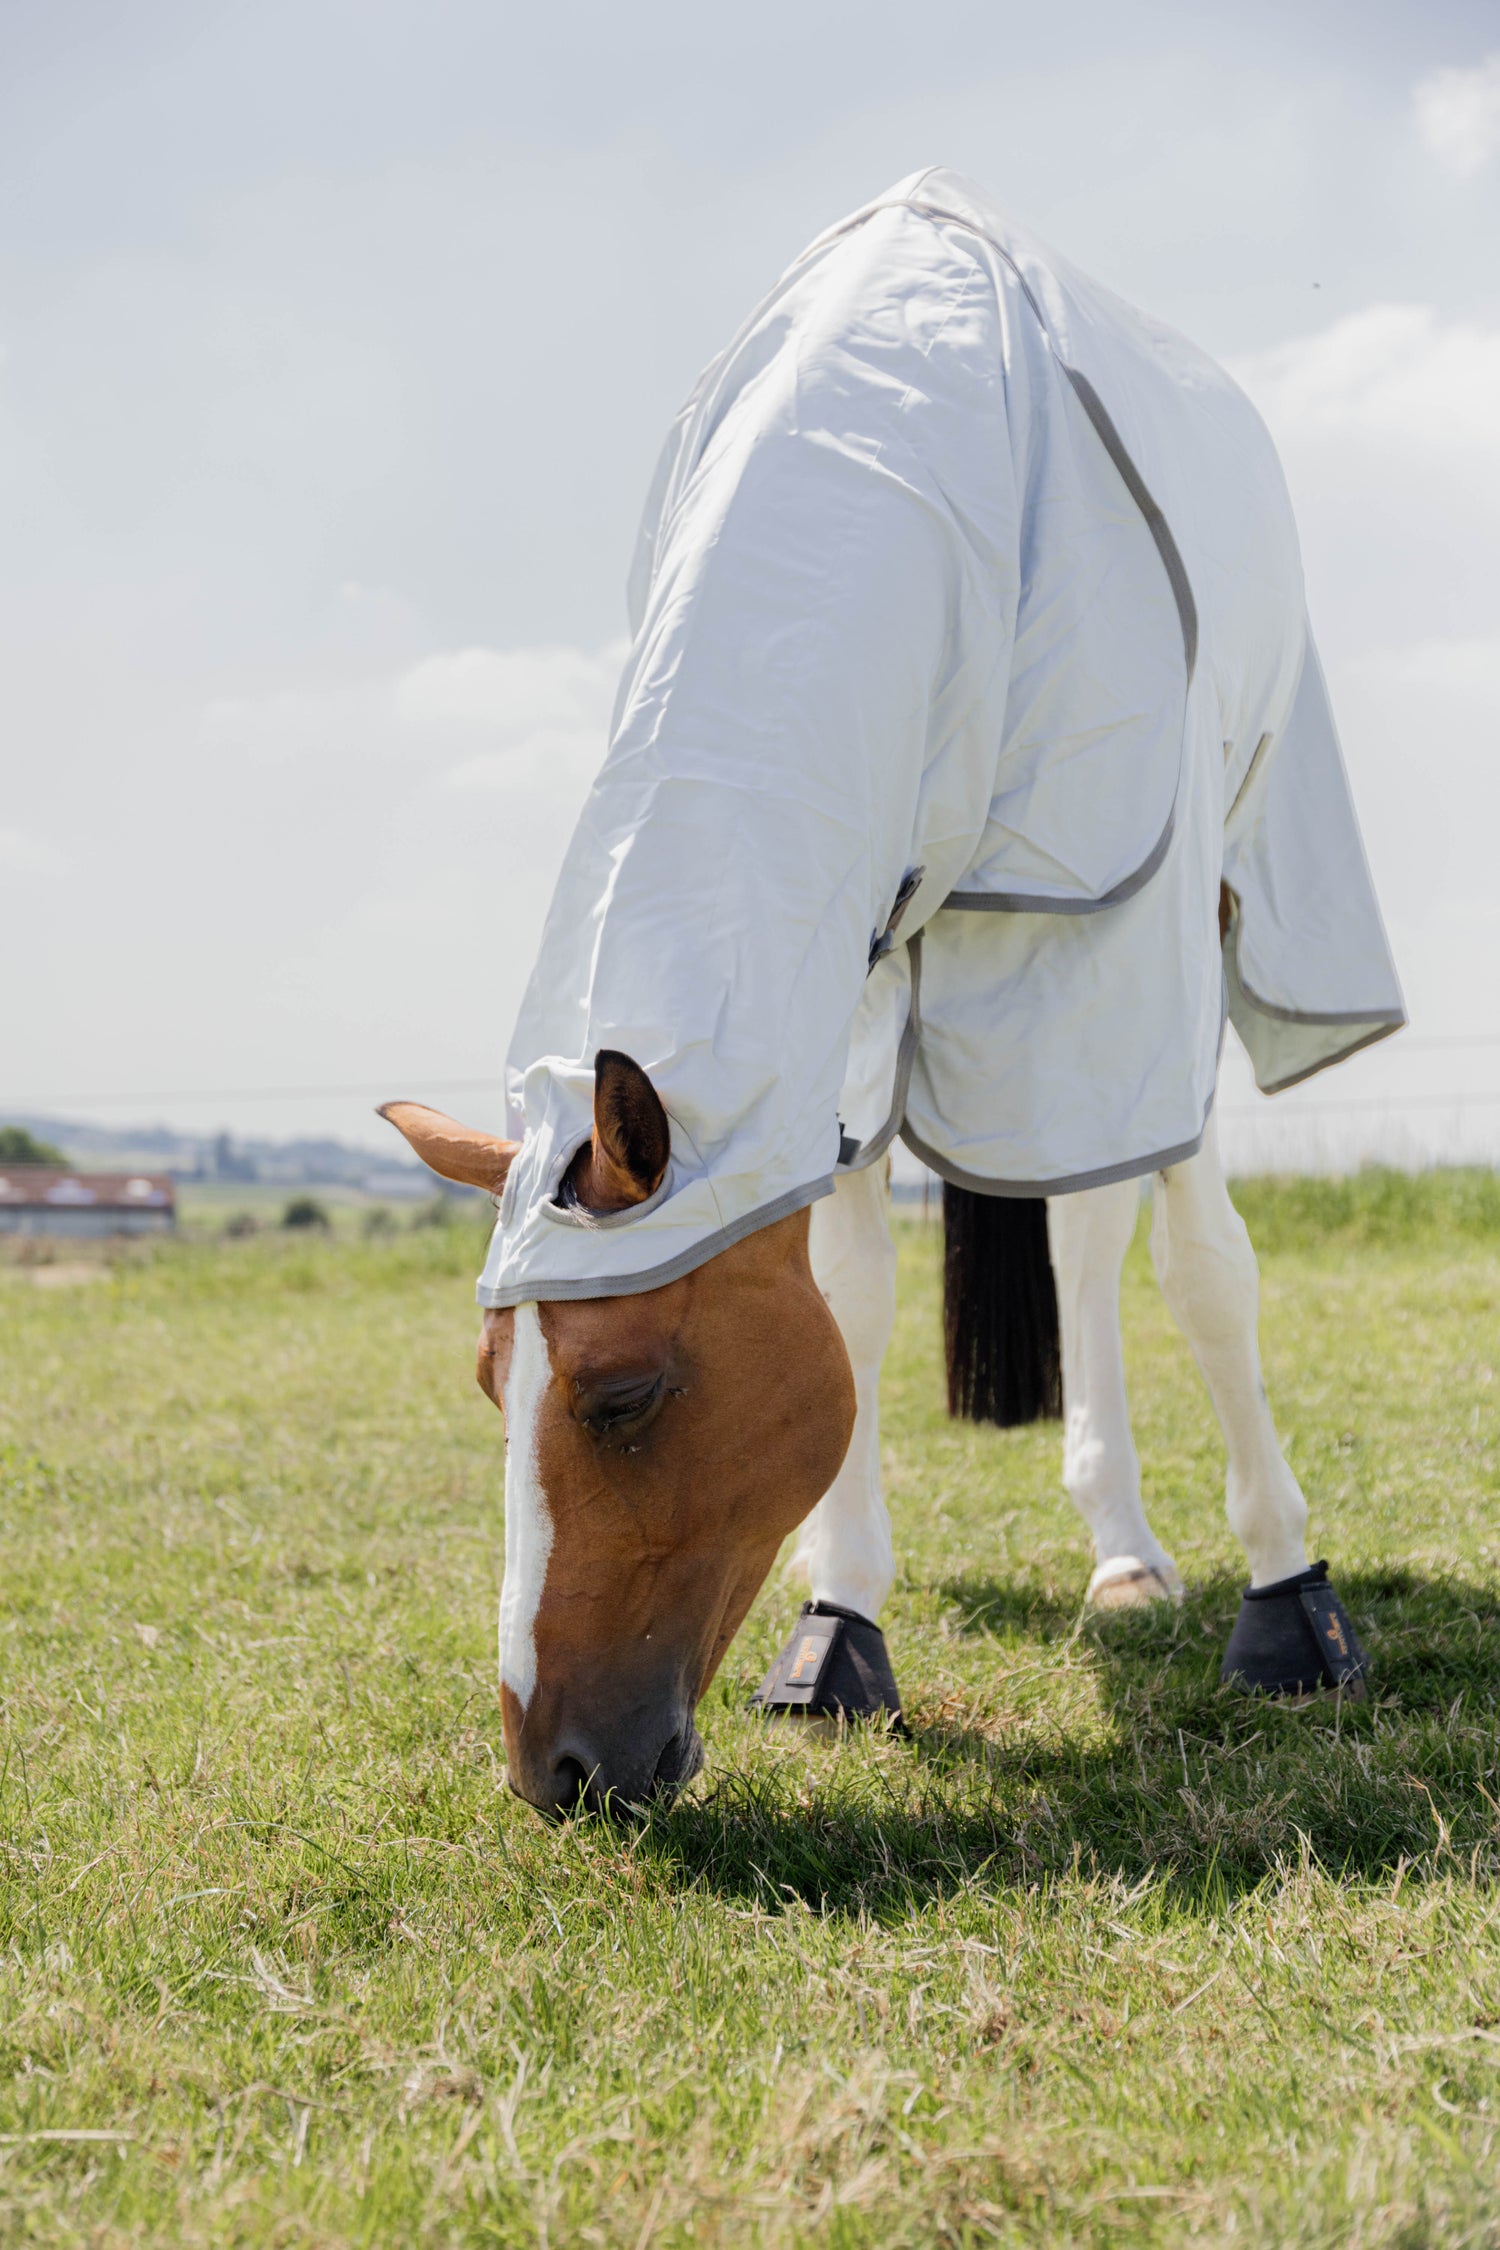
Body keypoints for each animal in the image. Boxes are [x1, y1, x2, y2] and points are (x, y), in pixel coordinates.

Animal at [381, 170, 1403, 1813]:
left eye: (620, 1398)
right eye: (490, 1385)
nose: (556, 1770)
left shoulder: (1134, 932)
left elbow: (1208, 1273)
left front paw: (1290, 1604)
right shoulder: (842, 981)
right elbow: (845, 1303)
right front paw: (840, 1620)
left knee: (1104, 1225)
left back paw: (1133, 1554)